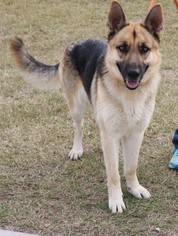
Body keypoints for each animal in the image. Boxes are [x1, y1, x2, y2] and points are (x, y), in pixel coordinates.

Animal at [10, 0, 164, 214]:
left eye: (144, 49)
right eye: (122, 48)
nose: (133, 73)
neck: (130, 96)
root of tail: (76, 45)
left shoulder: (135, 134)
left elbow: (130, 167)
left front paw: (134, 188)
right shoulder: (112, 134)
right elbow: (113, 174)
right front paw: (115, 200)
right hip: (76, 106)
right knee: (79, 127)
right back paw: (77, 149)